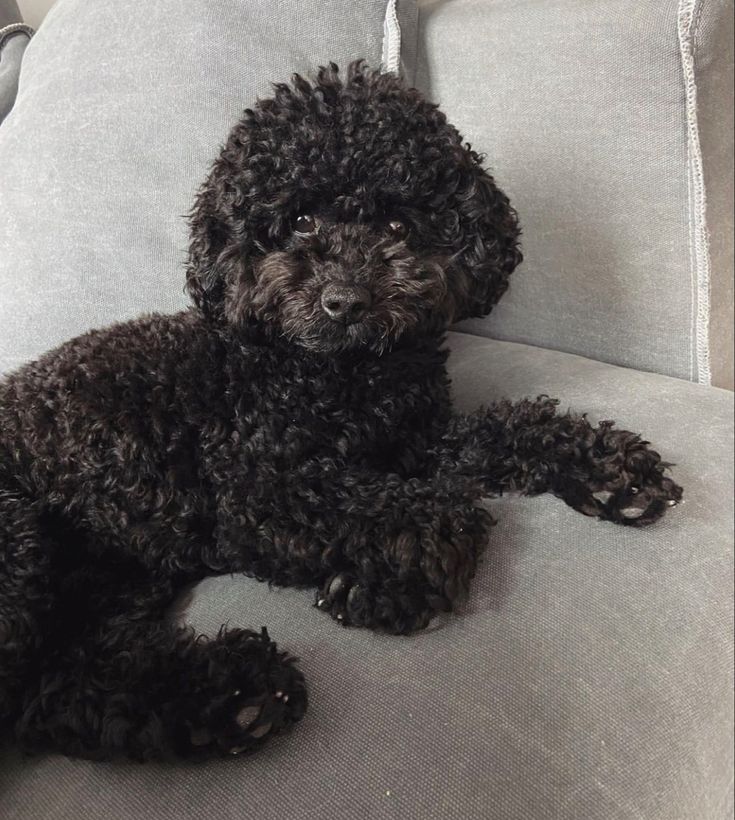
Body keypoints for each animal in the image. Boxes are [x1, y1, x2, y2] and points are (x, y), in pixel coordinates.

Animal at [0, 64, 684, 764]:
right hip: (20, 542)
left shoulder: (417, 440)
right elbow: (419, 510)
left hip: (112, 580)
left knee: (59, 687)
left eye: (398, 226)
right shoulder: (255, 488)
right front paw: (394, 577)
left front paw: (609, 470)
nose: (345, 300)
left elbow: (502, 429)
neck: (344, 377)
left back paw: (233, 698)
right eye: (300, 220)